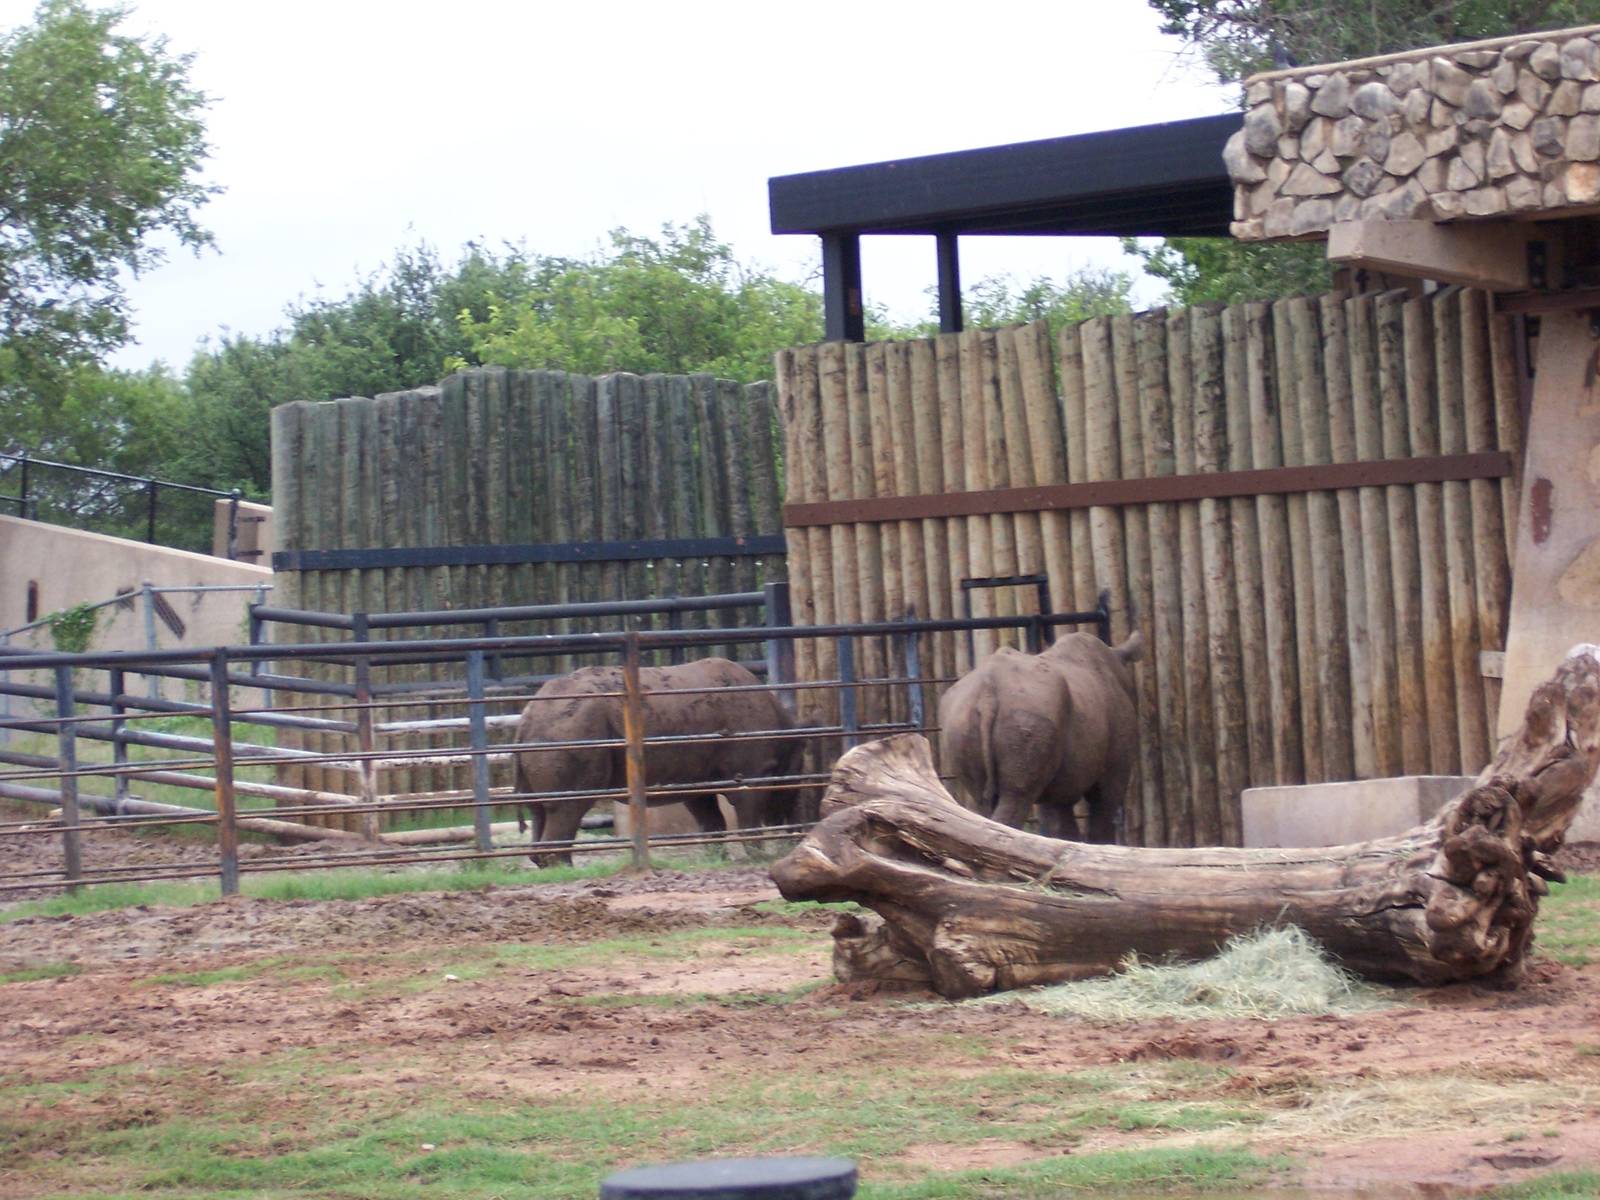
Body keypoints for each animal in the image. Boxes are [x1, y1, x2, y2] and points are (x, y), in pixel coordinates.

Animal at [512, 657, 800, 865]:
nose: (792, 837)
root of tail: (526, 718)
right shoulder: (751, 769)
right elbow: (747, 815)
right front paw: (759, 856)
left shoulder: (695, 777)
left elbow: (711, 820)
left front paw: (716, 857)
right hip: (571, 729)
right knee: (570, 805)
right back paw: (565, 868)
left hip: (554, 729)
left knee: (540, 809)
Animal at [938, 630, 1143, 843]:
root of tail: (987, 692)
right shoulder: (1113, 771)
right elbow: (1103, 813)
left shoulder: (1059, 782)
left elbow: (1061, 823)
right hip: (1028, 712)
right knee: (1017, 796)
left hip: (960, 717)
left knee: (980, 801)